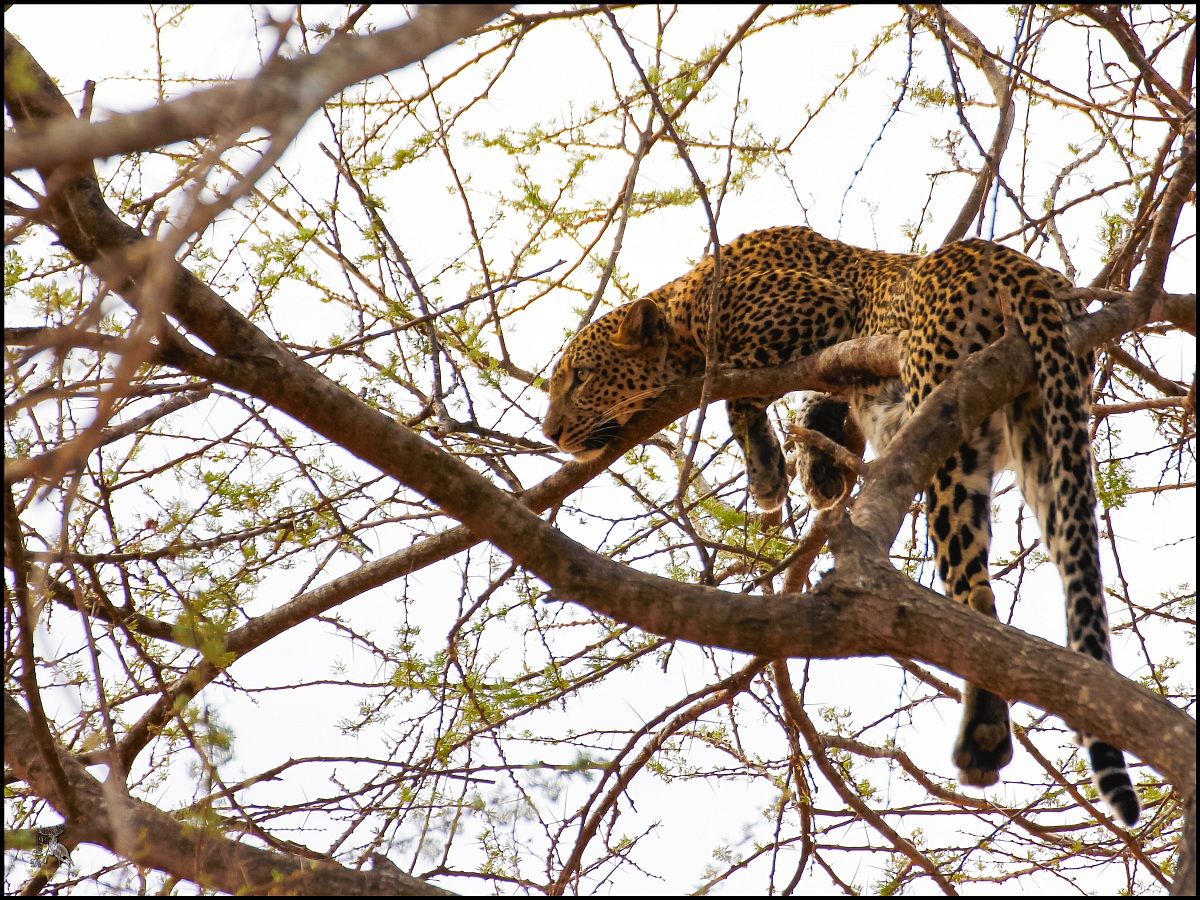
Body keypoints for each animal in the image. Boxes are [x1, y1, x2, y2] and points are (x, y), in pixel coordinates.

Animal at [542, 225, 1140, 826]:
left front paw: (768, 472)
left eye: (580, 378)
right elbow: (817, 405)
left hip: (950, 405)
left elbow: (740, 389)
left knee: (974, 590)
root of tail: (1017, 263)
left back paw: (984, 734)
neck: (682, 306)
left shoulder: (815, 307)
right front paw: (816, 470)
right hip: (1050, 429)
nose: (549, 433)